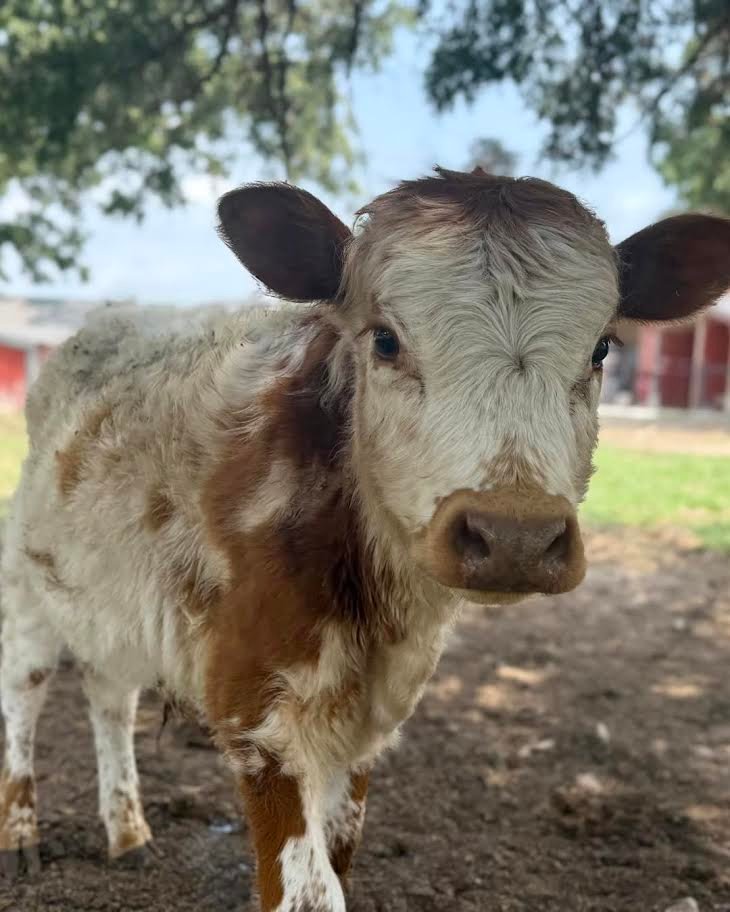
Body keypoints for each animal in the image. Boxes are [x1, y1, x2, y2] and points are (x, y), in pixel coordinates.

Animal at [1, 167, 729, 910]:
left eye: (602, 347)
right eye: (384, 340)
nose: (515, 535)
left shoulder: (366, 726)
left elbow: (341, 850)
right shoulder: (255, 715)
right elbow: (310, 889)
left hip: (105, 602)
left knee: (109, 697)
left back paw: (127, 833)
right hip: (29, 587)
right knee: (25, 692)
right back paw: (20, 833)